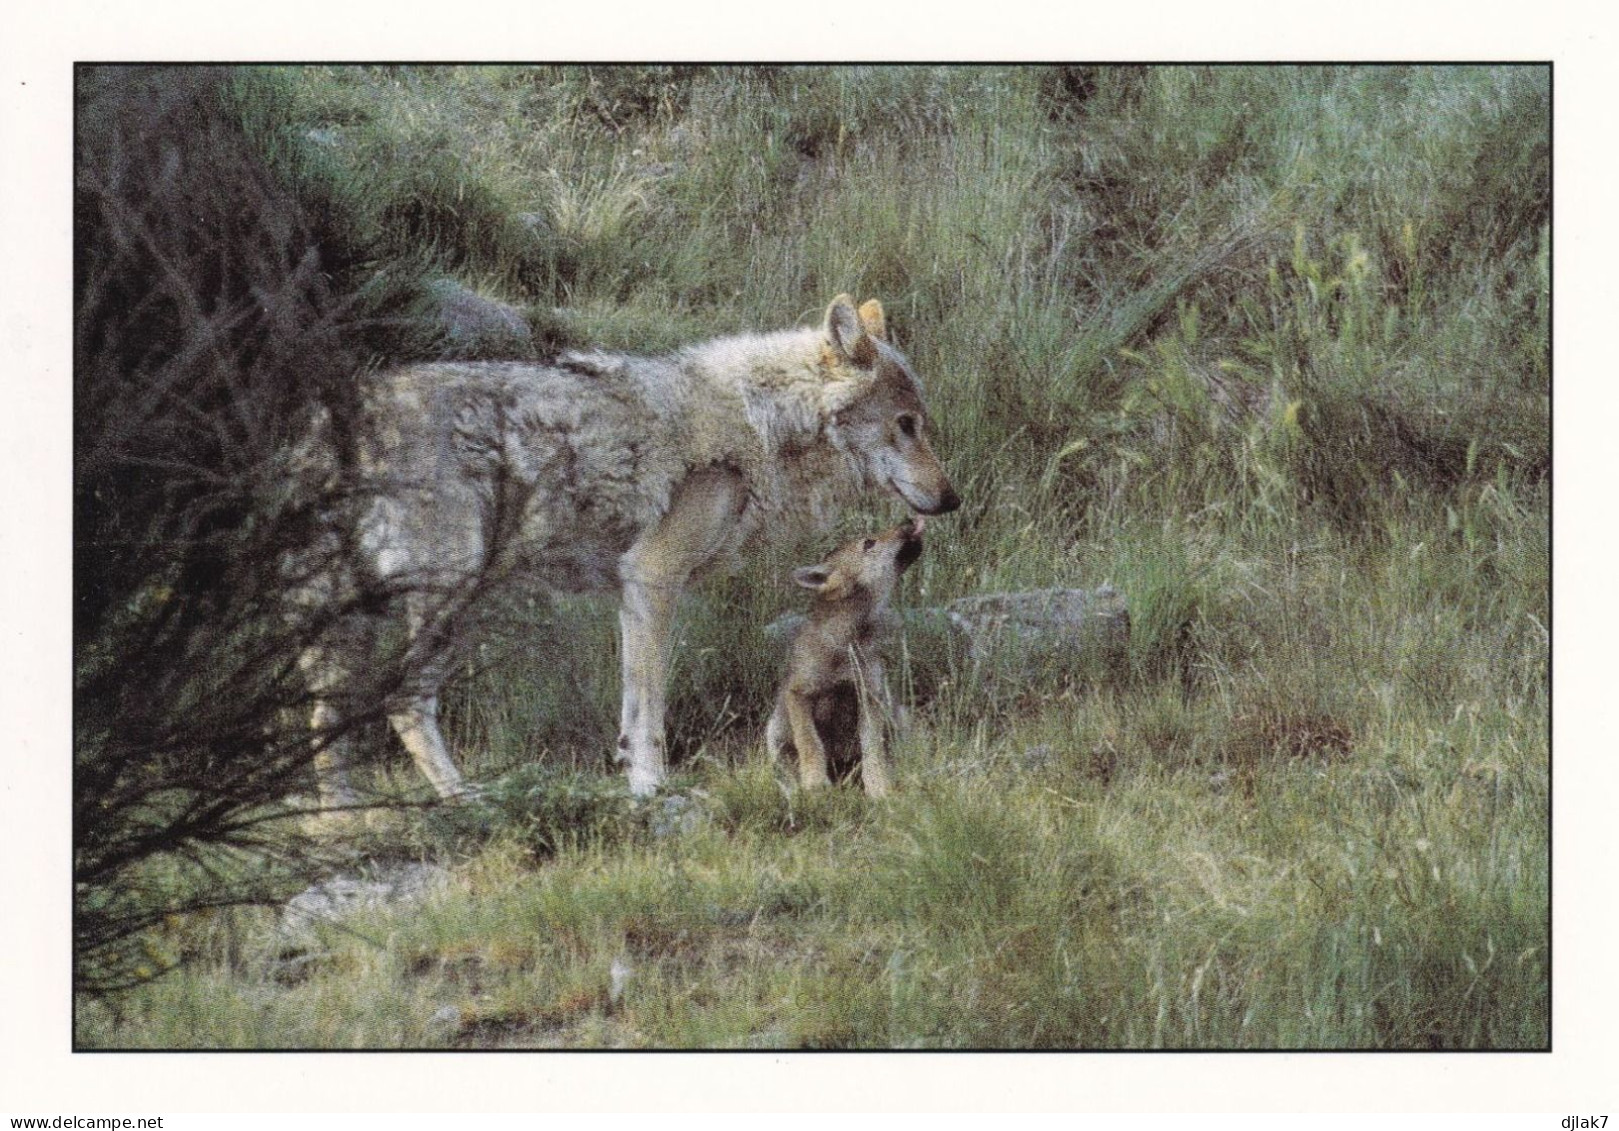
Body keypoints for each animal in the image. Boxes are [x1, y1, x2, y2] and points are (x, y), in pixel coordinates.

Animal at [301, 294, 958, 805]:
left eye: (921, 422)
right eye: (904, 425)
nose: (951, 500)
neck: (759, 424)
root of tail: (338, 423)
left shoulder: (631, 592)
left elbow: (628, 709)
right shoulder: (653, 578)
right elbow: (651, 713)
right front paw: (652, 787)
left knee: (324, 718)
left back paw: (339, 826)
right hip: (453, 598)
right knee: (402, 703)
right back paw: (464, 800)